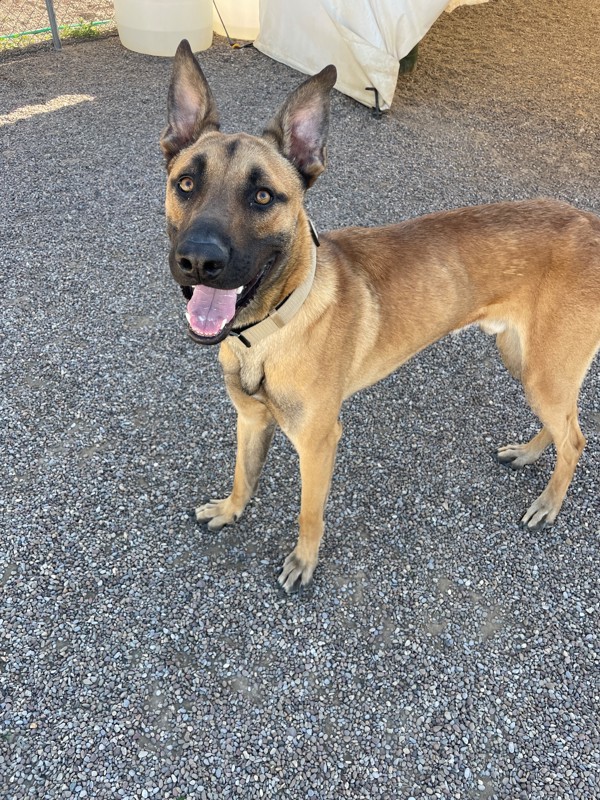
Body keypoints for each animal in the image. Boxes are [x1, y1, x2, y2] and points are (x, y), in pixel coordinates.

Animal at [161, 40, 600, 592]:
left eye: (262, 196)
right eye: (186, 183)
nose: (199, 260)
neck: (269, 330)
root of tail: (591, 223)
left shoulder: (318, 442)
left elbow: (309, 512)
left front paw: (304, 560)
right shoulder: (250, 418)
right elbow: (243, 474)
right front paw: (230, 509)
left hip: (545, 372)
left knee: (576, 439)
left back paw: (549, 503)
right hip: (528, 363)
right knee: (564, 426)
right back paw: (530, 451)